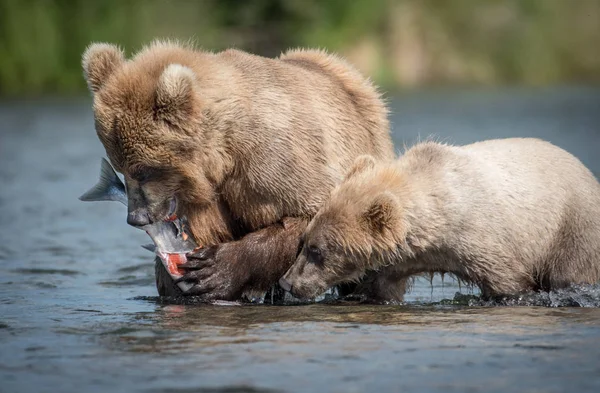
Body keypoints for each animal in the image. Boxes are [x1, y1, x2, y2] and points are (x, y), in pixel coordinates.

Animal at [82, 39, 396, 298]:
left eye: (144, 170)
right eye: (120, 166)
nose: (136, 217)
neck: (223, 157)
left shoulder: (277, 161)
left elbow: (308, 216)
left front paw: (213, 270)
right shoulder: (205, 200)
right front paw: (177, 280)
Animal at [282, 138, 600, 300]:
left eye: (318, 250)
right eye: (304, 242)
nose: (288, 283)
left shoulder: (483, 238)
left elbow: (508, 281)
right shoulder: (400, 260)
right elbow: (379, 288)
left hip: (573, 227)